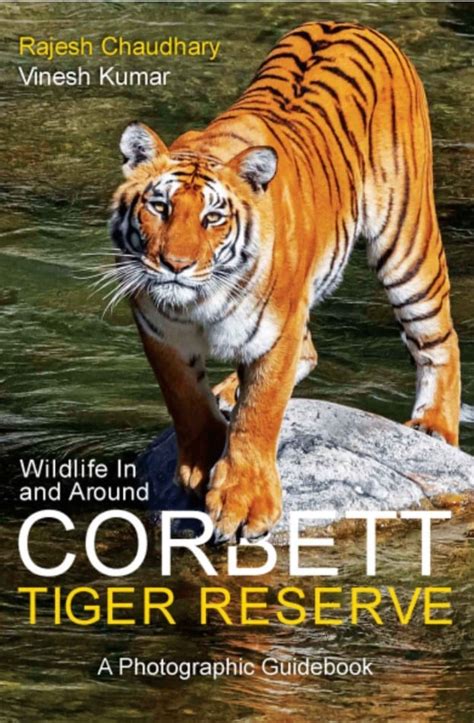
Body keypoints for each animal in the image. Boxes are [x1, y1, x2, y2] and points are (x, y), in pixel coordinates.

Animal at [109, 20, 461, 543]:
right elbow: (184, 398)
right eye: (159, 207)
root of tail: (351, 23)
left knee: (438, 337)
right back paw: (228, 391)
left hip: (406, 242)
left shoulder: (278, 329)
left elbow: (261, 411)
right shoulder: (159, 329)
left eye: (213, 218)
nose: (175, 264)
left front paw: (244, 501)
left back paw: (434, 426)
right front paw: (200, 464)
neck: (200, 303)